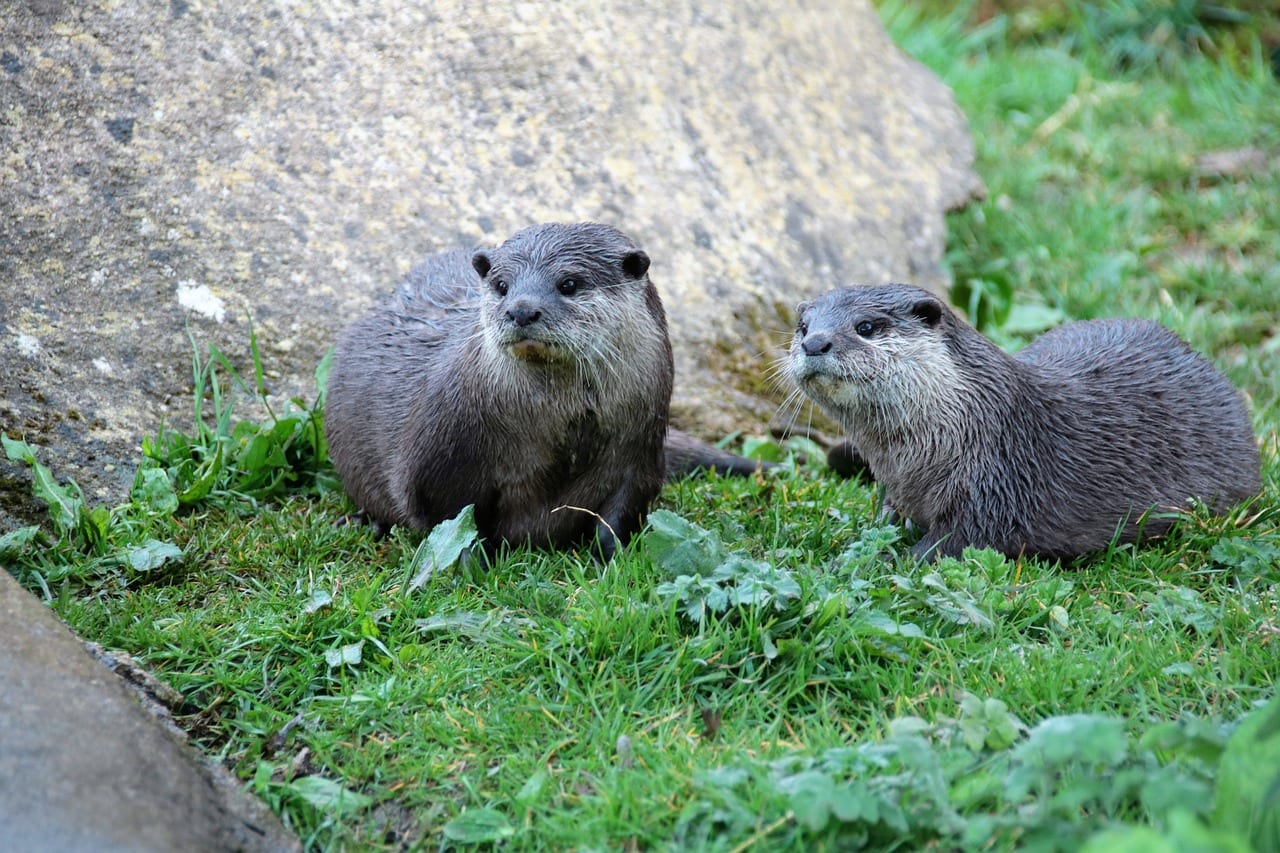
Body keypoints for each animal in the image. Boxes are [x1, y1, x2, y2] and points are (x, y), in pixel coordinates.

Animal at [322, 222, 757, 560]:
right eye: (501, 285)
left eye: (569, 283)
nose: (521, 310)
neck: (566, 434)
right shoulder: (440, 458)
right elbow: (452, 521)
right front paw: (472, 564)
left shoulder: (639, 451)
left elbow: (618, 516)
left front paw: (614, 561)